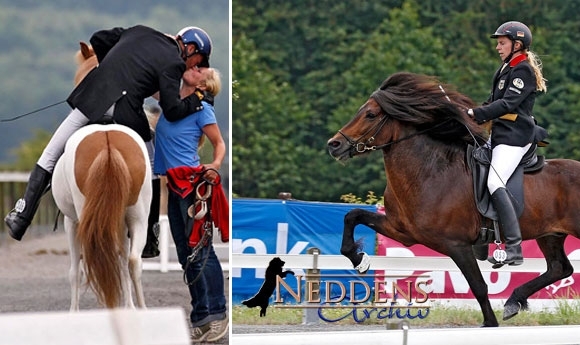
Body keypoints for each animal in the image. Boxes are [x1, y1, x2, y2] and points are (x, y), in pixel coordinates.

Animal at [51, 41, 152, 308]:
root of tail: (108, 144)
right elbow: (122, 259)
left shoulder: (71, 222)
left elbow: (75, 271)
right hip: (136, 216)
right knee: (132, 261)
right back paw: (139, 308)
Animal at [326, 72, 580, 326]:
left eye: (370, 114)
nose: (333, 145)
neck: (429, 172)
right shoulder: (401, 230)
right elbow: (352, 216)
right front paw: (359, 260)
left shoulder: (457, 245)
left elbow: (479, 286)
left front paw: (490, 323)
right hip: (549, 234)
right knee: (559, 268)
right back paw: (513, 301)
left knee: (560, 268)